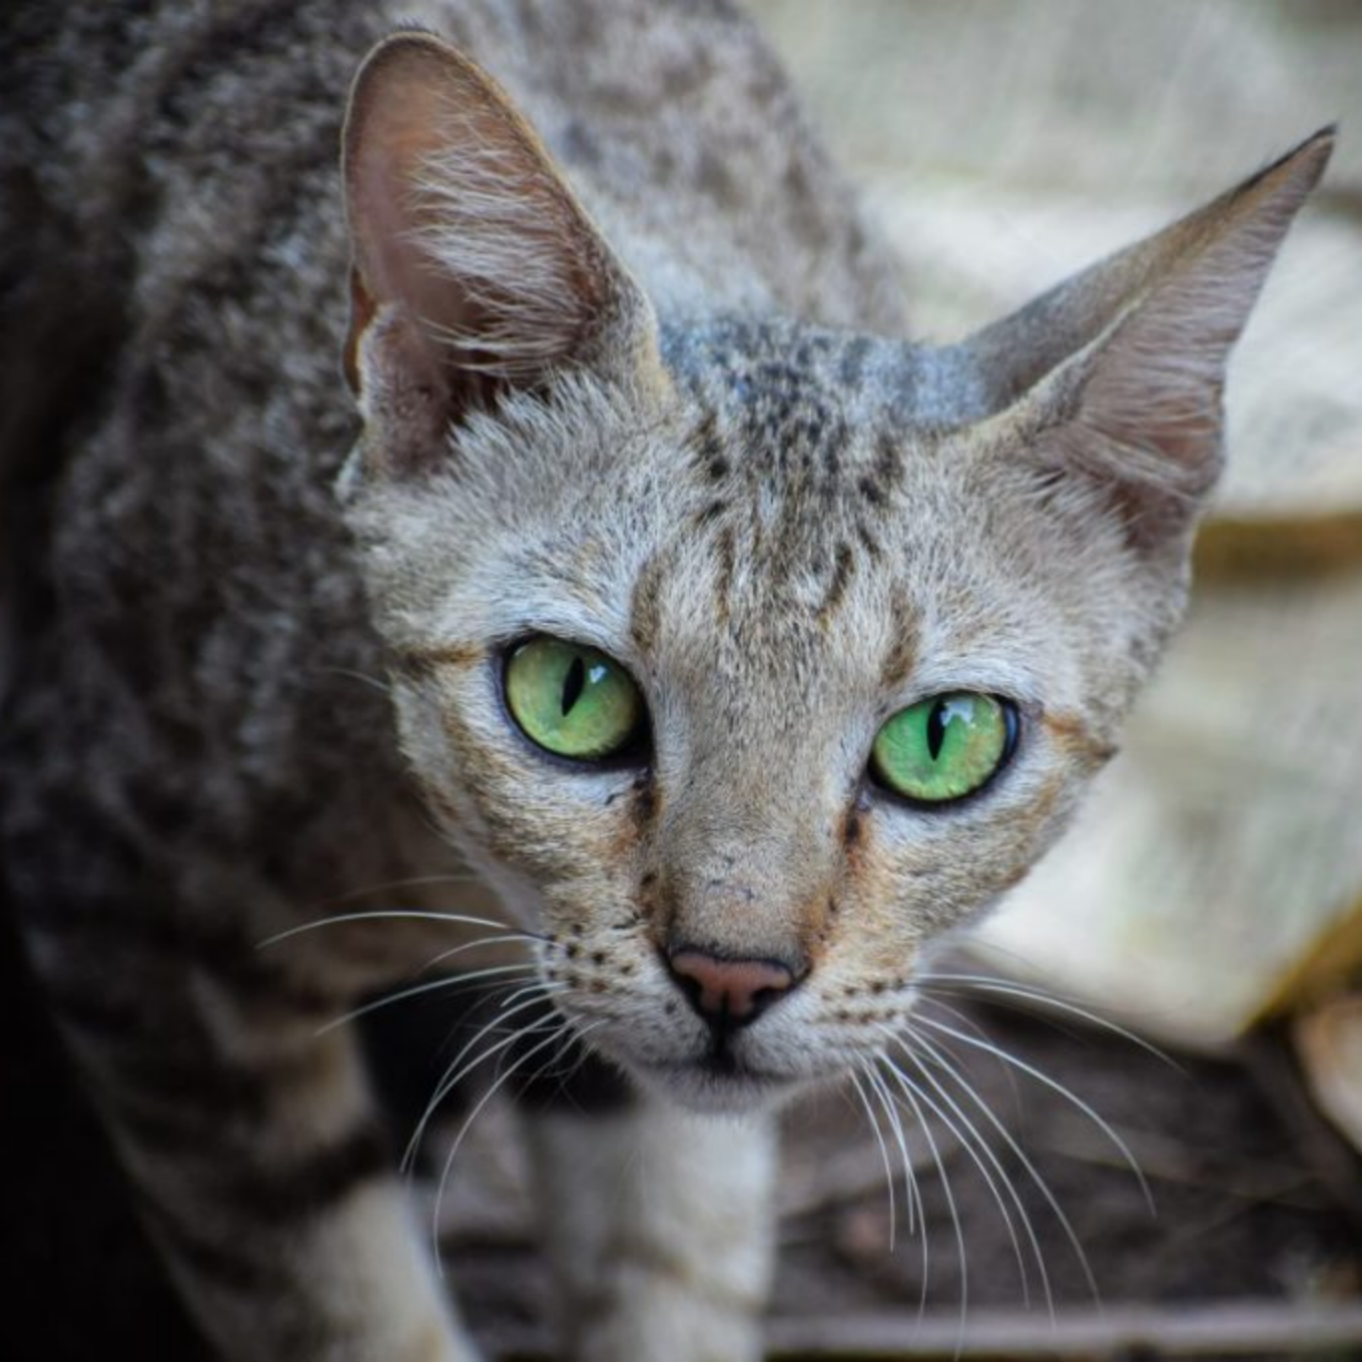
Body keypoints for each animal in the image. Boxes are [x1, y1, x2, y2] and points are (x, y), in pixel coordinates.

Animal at [0, 2, 1327, 1366]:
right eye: (570, 693)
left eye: (942, 738)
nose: (731, 975)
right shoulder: (117, 871)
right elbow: (336, 1301)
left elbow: (671, 1251)